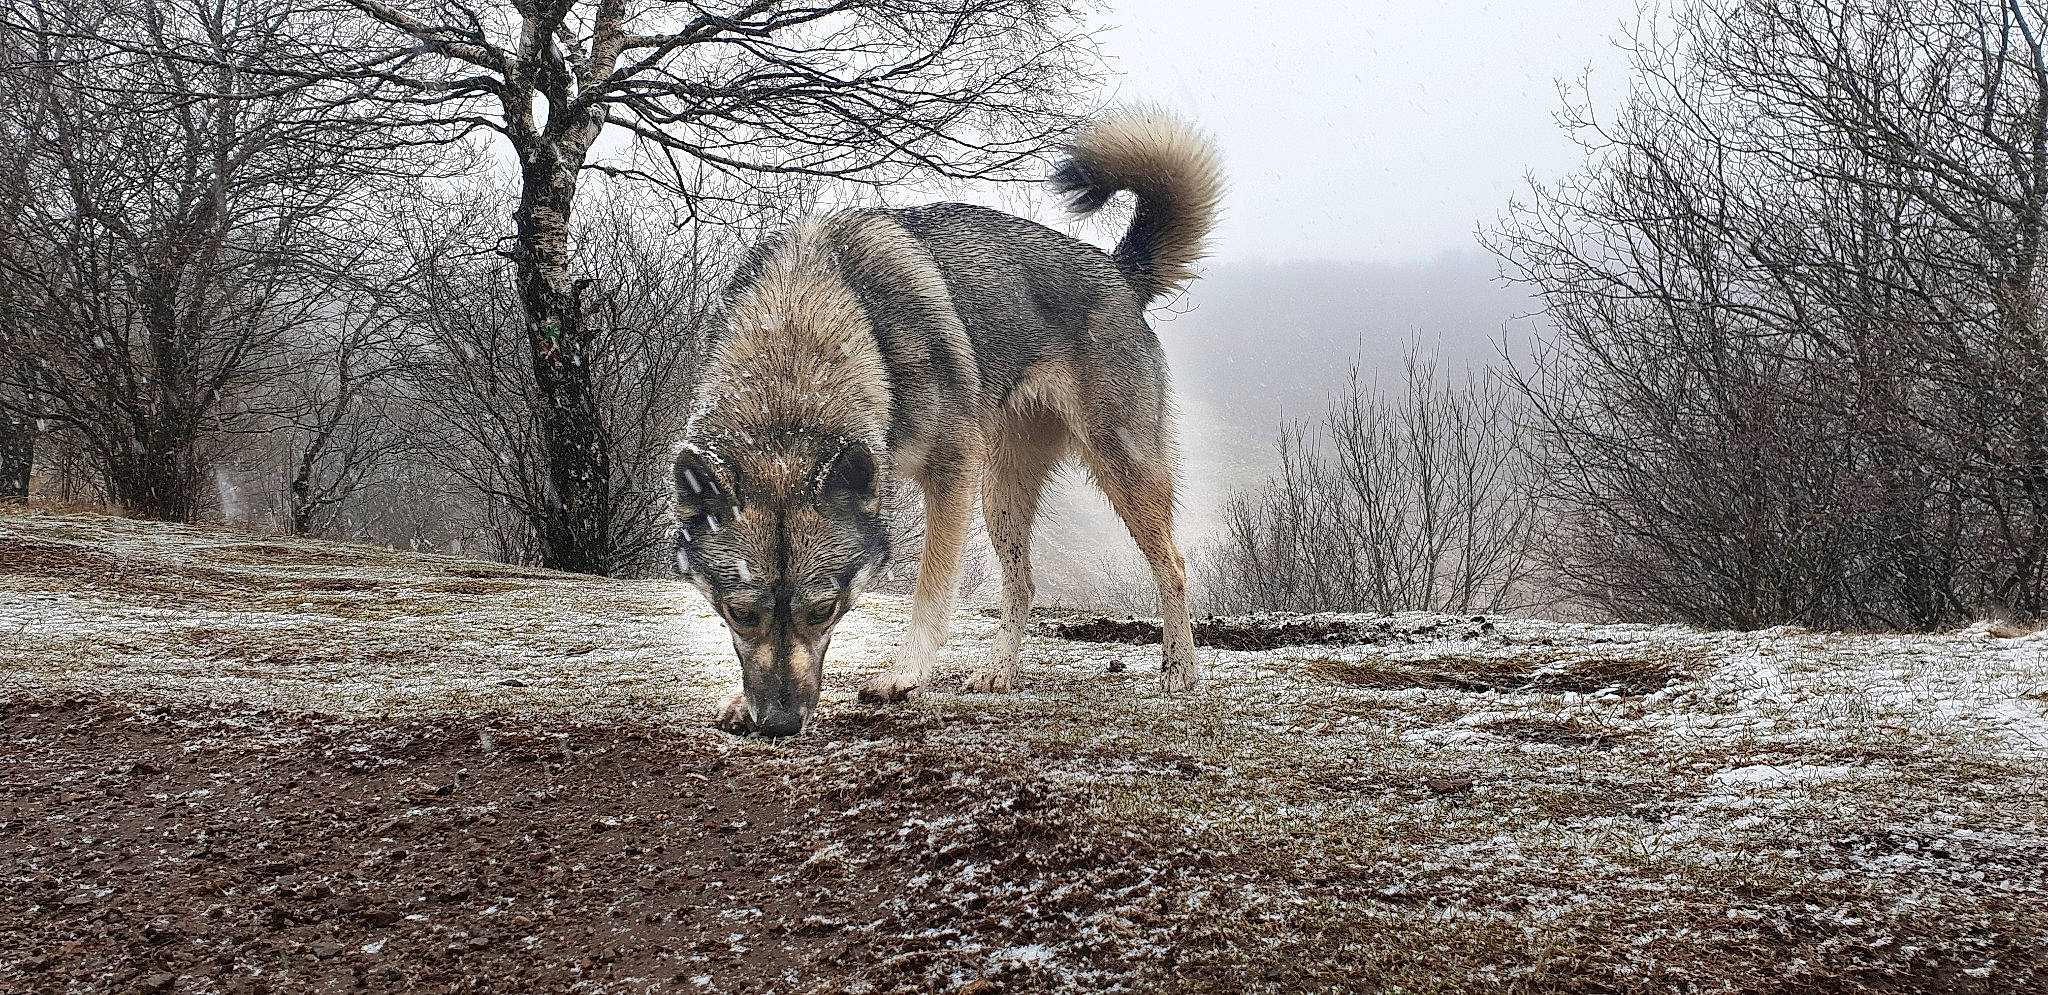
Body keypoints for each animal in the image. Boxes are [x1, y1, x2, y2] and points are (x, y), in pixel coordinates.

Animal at [671, 111, 1223, 736]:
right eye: (740, 612)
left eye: (823, 610)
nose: (780, 723)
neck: (799, 336)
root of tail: (1119, 270)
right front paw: (739, 701)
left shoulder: (952, 470)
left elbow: (932, 586)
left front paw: (904, 674)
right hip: (1002, 492)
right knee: (1024, 584)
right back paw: (997, 672)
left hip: (1117, 471)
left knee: (1173, 565)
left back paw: (1179, 671)